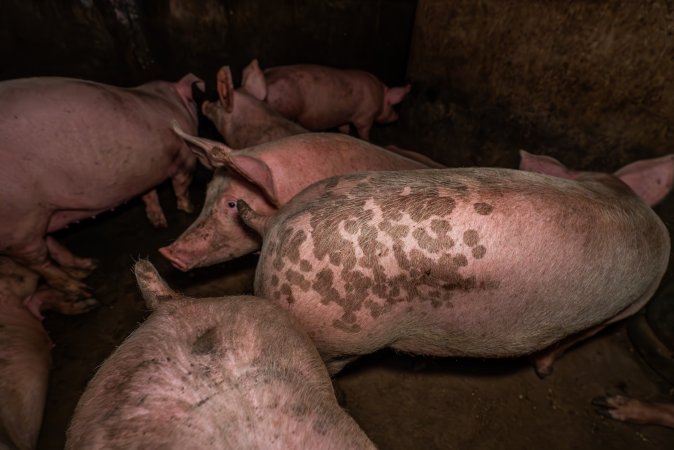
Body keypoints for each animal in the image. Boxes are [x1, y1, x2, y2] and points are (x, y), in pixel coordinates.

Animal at [0, 74, 204, 299]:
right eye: (194, 102)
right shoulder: (186, 157)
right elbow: (181, 185)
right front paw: (188, 208)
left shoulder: (148, 171)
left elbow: (148, 194)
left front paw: (158, 223)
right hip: (20, 223)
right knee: (42, 264)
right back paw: (84, 290)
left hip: (38, 217)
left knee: (52, 245)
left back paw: (89, 266)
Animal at [240, 59, 411, 141]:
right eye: (392, 106)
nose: (397, 116)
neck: (381, 95)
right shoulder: (366, 116)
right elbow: (363, 131)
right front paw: (367, 140)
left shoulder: (344, 117)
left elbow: (344, 128)